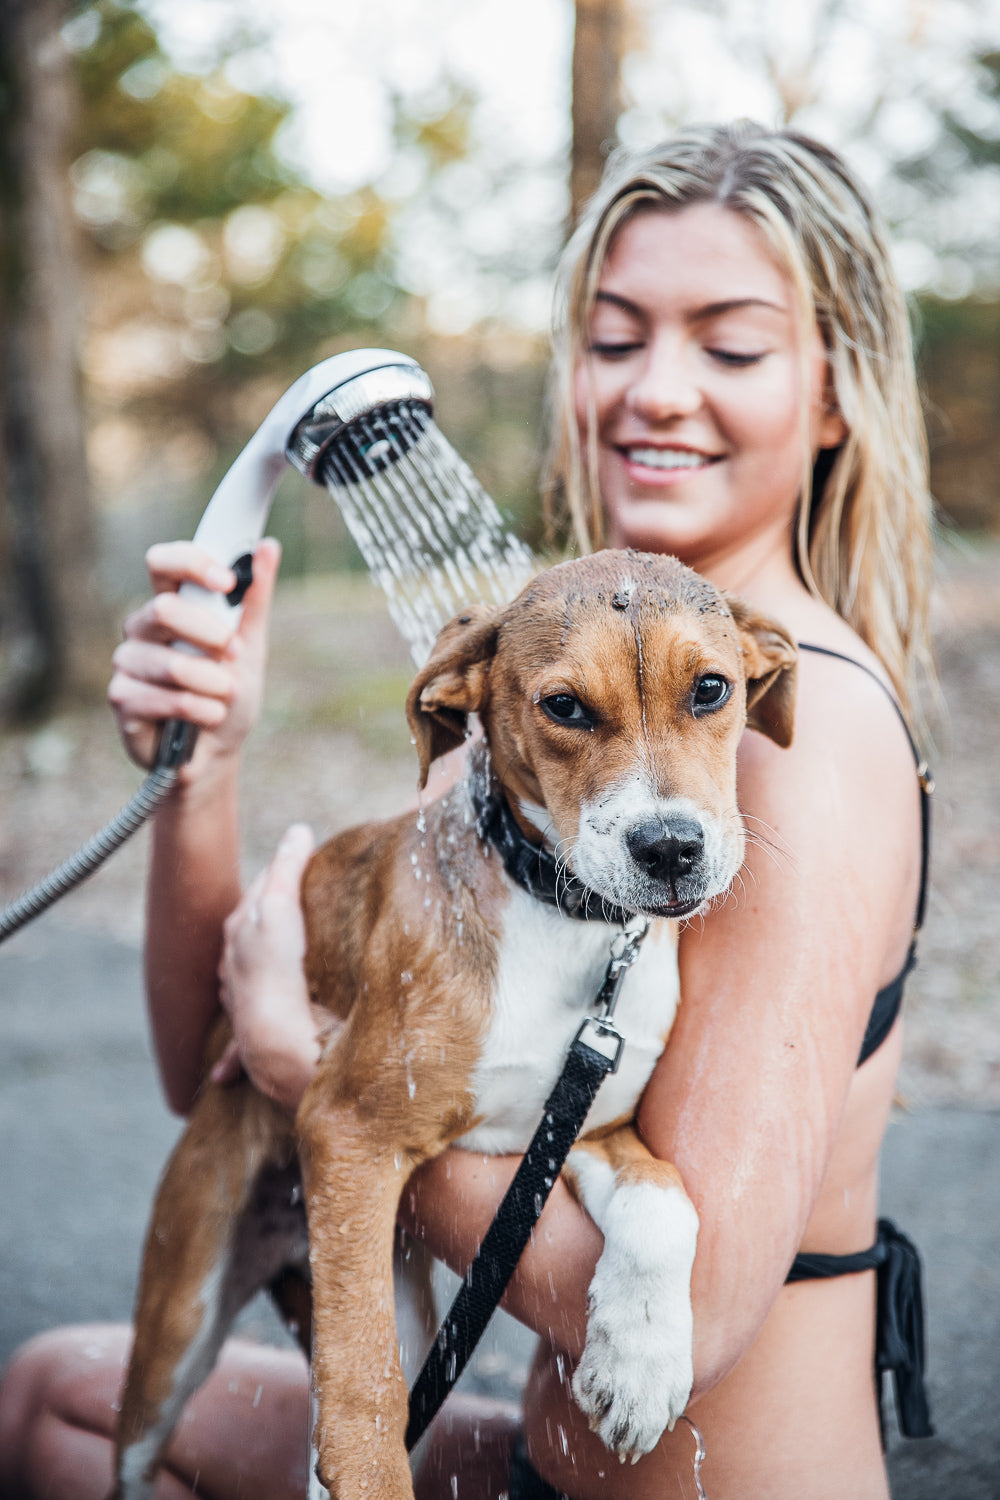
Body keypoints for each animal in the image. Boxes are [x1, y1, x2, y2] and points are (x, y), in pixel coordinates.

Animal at [111, 549, 797, 1500]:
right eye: (564, 707)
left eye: (711, 689)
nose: (669, 848)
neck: (562, 922)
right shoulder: (349, 1127)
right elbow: (363, 1390)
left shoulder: (578, 1125)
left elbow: (667, 1202)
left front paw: (640, 1364)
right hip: (185, 1321)